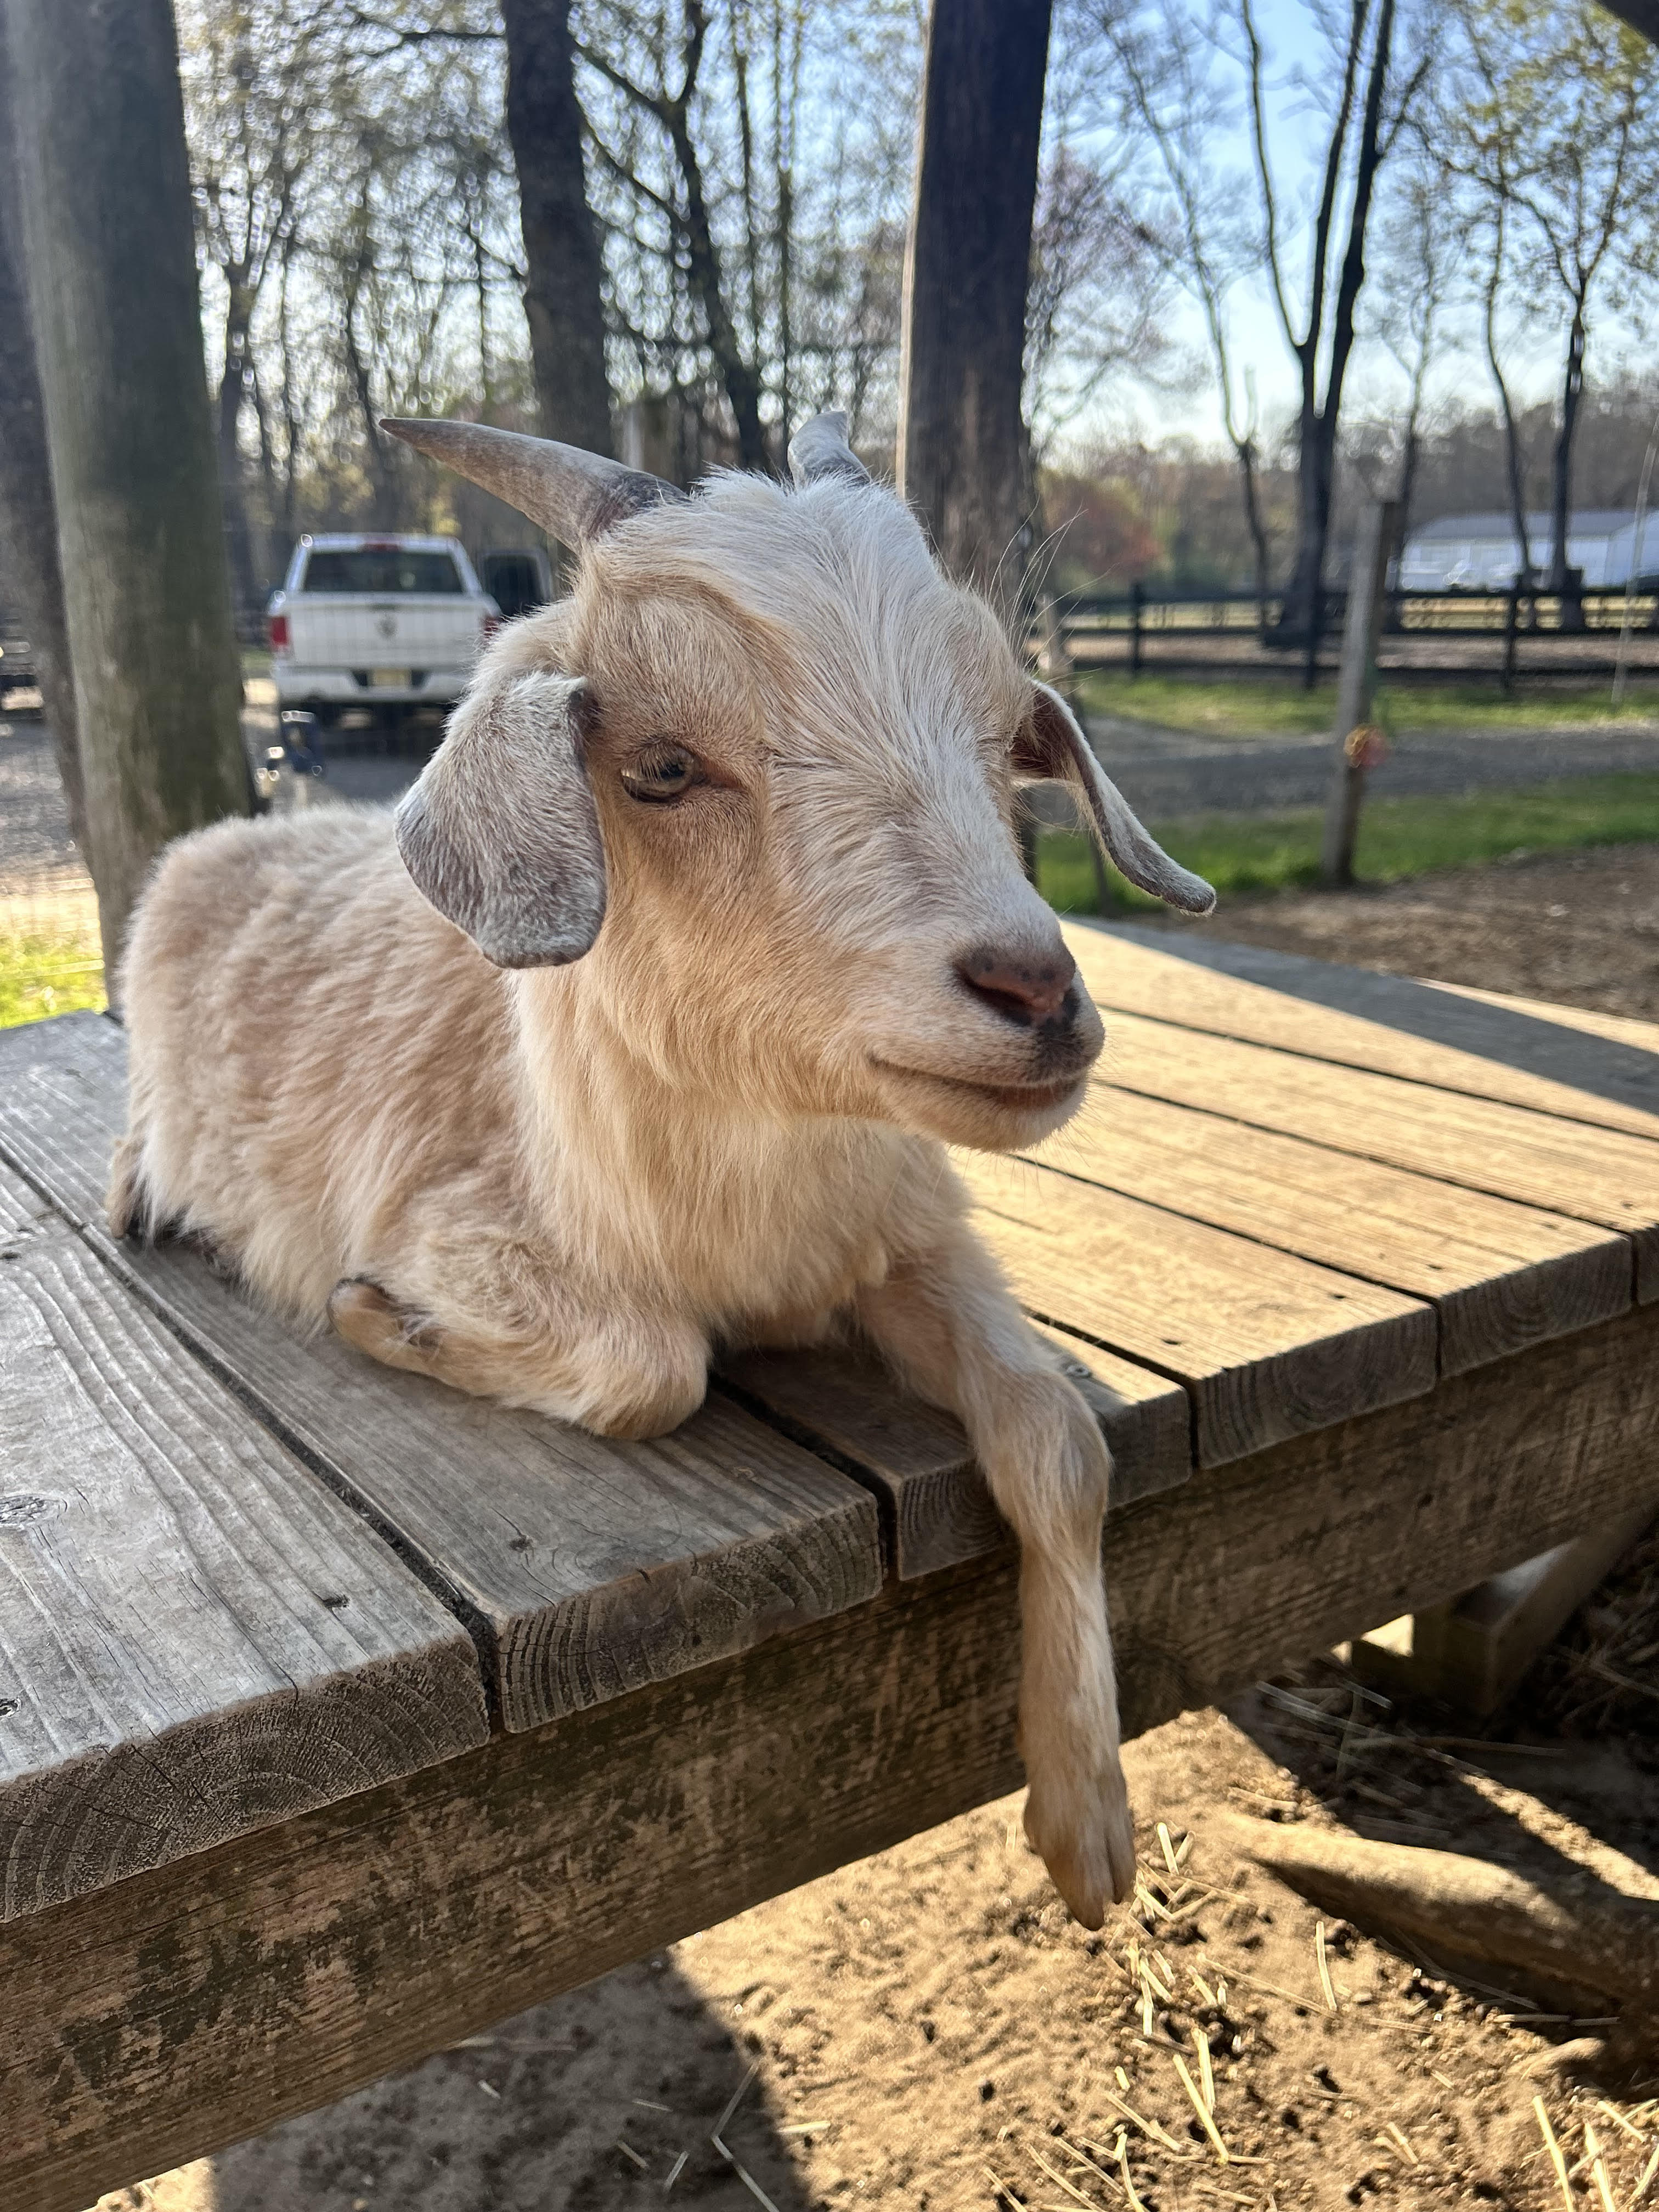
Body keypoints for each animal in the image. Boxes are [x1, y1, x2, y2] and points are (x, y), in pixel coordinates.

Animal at [109, 414, 1214, 1924]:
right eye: (665, 768)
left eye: (1005, 738)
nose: (1037, 993)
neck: (747, 1217)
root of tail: (242, 833)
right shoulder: (454, 1227)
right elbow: (655, 1370)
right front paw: (380, 1321)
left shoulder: (908, 1238)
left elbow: (1057, 1440)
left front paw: (1087, 1823)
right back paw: (145, 1198)